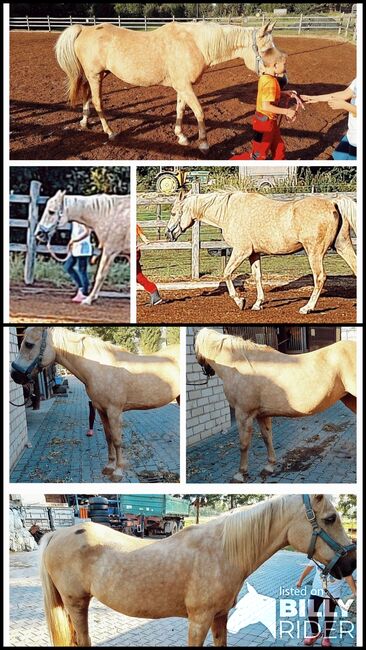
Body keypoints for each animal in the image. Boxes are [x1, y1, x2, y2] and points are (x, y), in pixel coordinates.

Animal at [9, 324, 179, 480]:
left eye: (29, 344)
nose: (14, 375)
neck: (100, 368)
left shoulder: (114, 411)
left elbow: (117, 440)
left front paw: (118, 471)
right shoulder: (102, 410)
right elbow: (108, 437)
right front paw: (109, 467)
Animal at [39, 496, 354, 644]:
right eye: (330, 518)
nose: (350, 563)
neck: (221, 551)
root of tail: (57, 534)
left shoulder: (219, 617)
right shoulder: (199, 620)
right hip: (76, 604)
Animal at [55, 20, 280, 151]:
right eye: (267, 50)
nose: (282, 76)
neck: (195, 43)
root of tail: (84, 28)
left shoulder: (182, 87)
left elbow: (180, 110)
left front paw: (181, 136)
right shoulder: (186, 87)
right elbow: (199, 112)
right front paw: (203, 143)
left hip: (96, 75)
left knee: (86, 96)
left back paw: (84, 123)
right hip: (95, 76)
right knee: (98, 102)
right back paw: (109, 132)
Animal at [167, 190, 358, 314]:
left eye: (174, 213)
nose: (169, 234)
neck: (230, 212)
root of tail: (333, 203)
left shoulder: (241, 251)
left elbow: (227, 273)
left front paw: (240, 301)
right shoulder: (253, 254)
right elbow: (257, 277)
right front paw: (257, 304)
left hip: (315, 253)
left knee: (319, 277)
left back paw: (307, 308)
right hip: (342, 245)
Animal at [196, 326, 356, 478]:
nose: (207, 371)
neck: (240, 364)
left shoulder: (243, 414)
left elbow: (244, 444)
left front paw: (241, 473)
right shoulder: (261, 415)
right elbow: (267, 438)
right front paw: (270, 465)